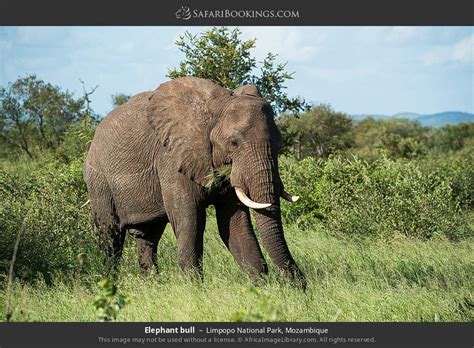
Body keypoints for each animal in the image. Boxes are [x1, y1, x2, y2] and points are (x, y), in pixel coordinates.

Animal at [84, 76, 306, 286]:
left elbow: (235, 225)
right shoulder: (171, 158)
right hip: (98, 180)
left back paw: (151, 284)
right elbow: (190, 221)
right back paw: (109, 284)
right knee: (110, 236)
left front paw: (259, 288)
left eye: (279, 144)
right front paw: (196, 289)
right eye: (233, 143)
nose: (301, 284)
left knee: (149, 237)